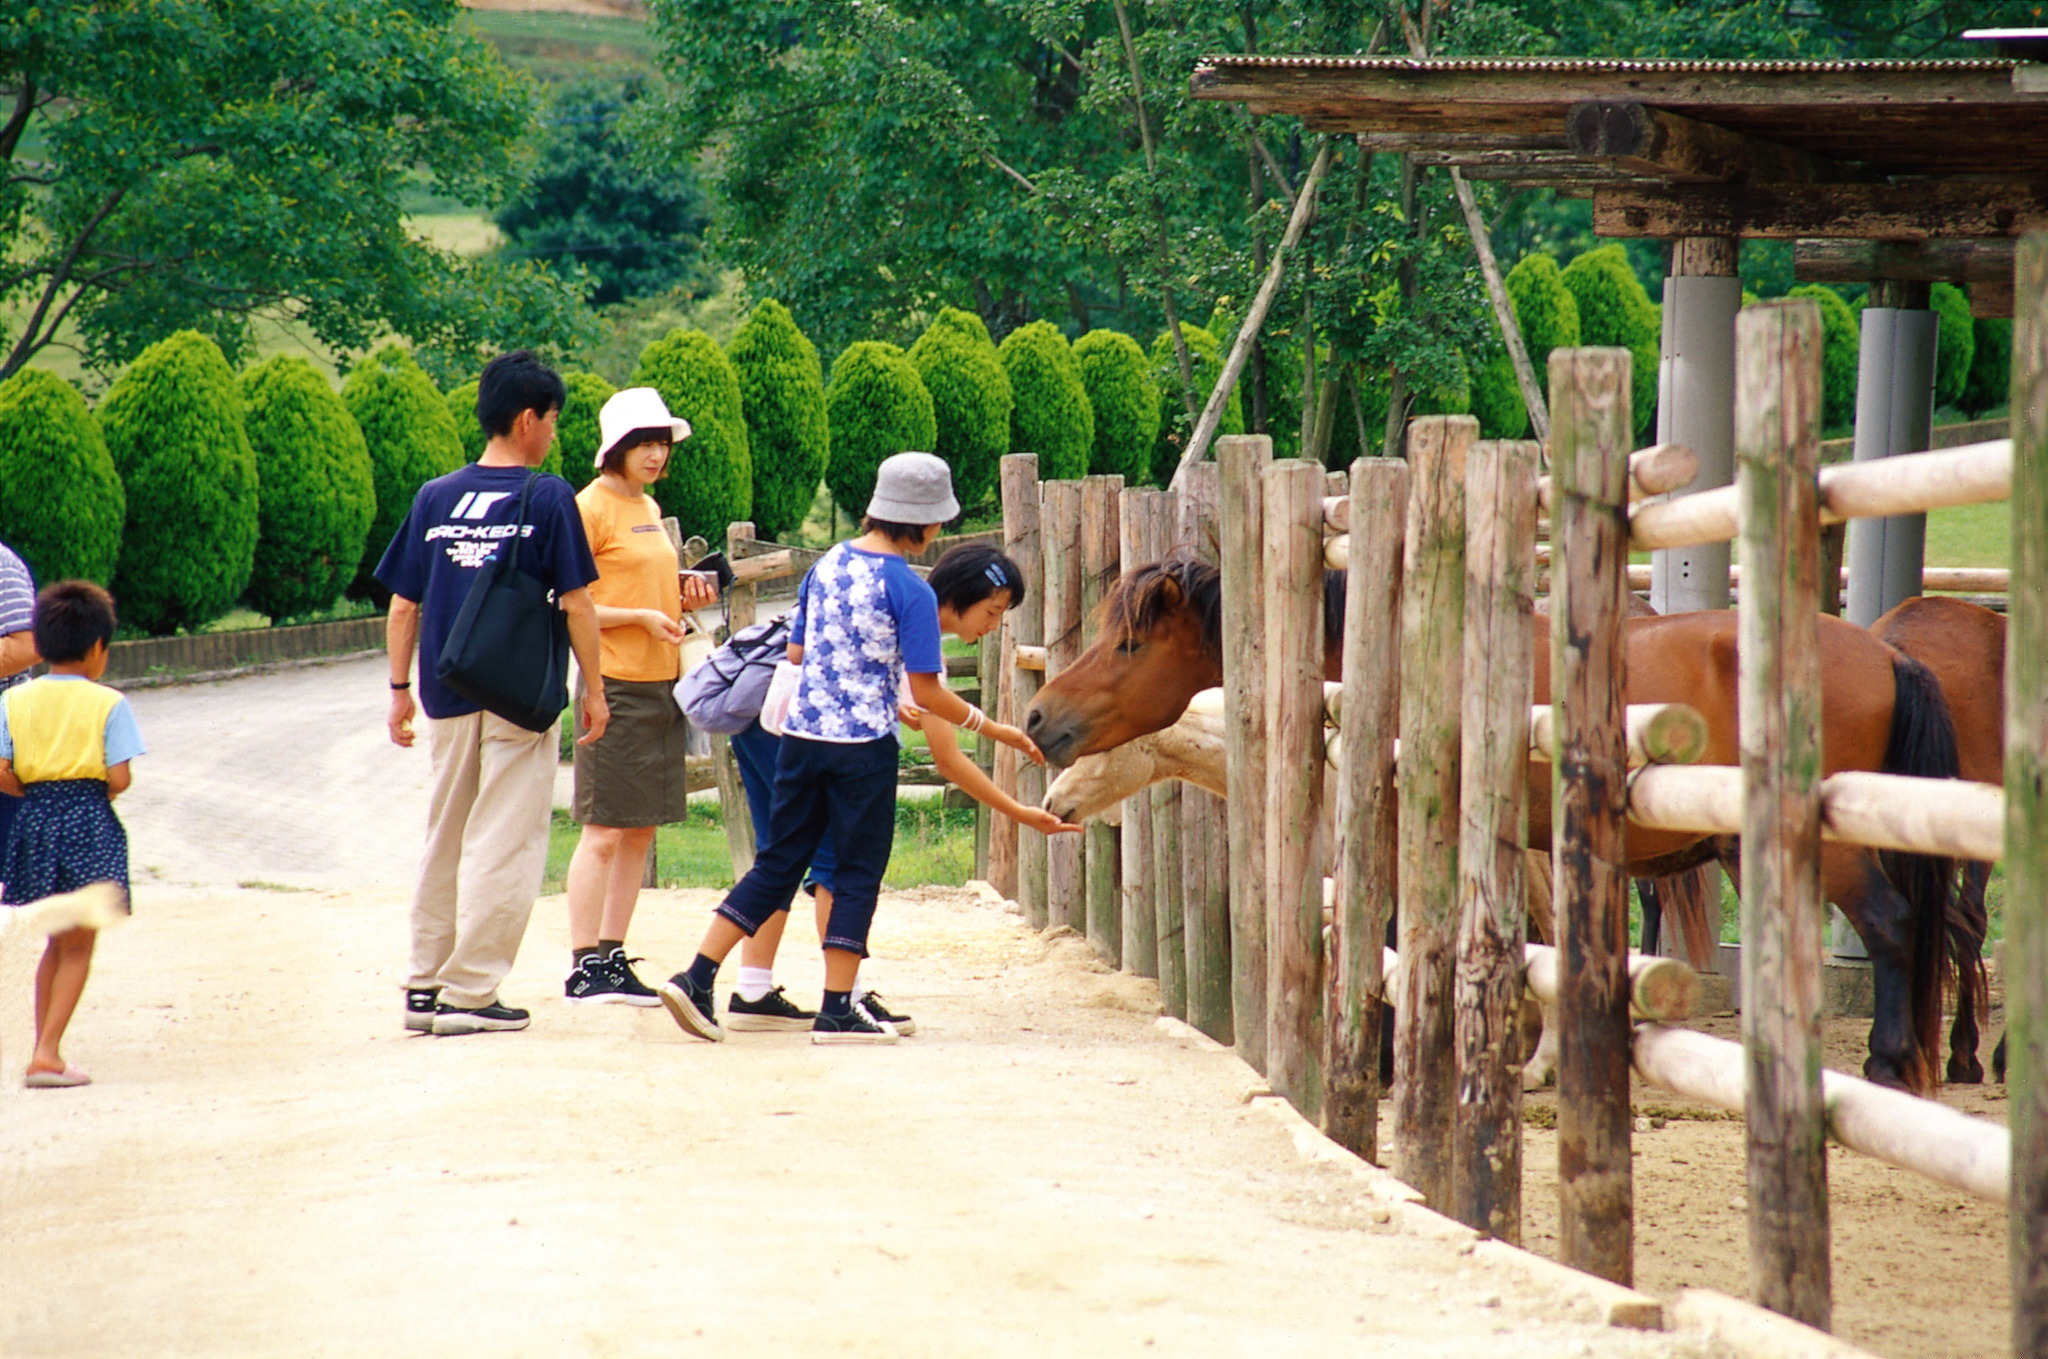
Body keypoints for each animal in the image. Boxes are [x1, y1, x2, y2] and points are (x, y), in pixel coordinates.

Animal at [1032, 552, 1974, 1097]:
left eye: (1128, 644)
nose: (1040, 719)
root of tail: (1886, 652)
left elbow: (1397, 935)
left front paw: (1394, 1064)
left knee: (1893, 927)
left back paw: (1891, 1065)